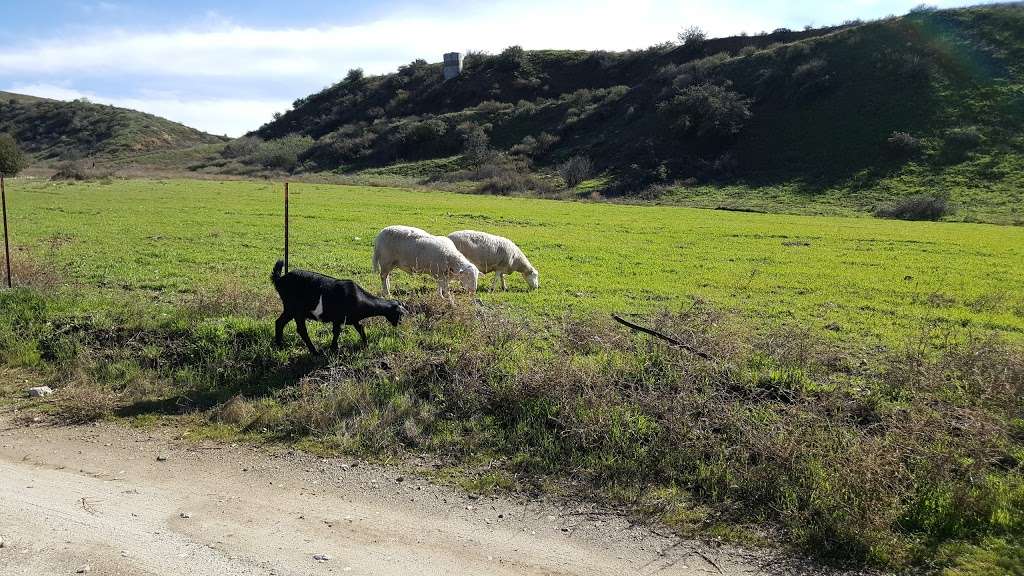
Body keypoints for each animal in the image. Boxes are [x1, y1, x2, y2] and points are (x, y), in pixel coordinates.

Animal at [272, 258, 407, 352]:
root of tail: (280, 280)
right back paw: (314, 352)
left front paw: (366, 344)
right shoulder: (338, 319)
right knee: (301, 330)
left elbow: (360, 328)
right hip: (296, 309)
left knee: (279, 322)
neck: (359, 298)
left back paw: (280, 345)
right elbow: (337, 332)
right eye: (399, 314)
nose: (400, 324)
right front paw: (334, 349)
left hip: (289, 309)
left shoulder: (353, 319)